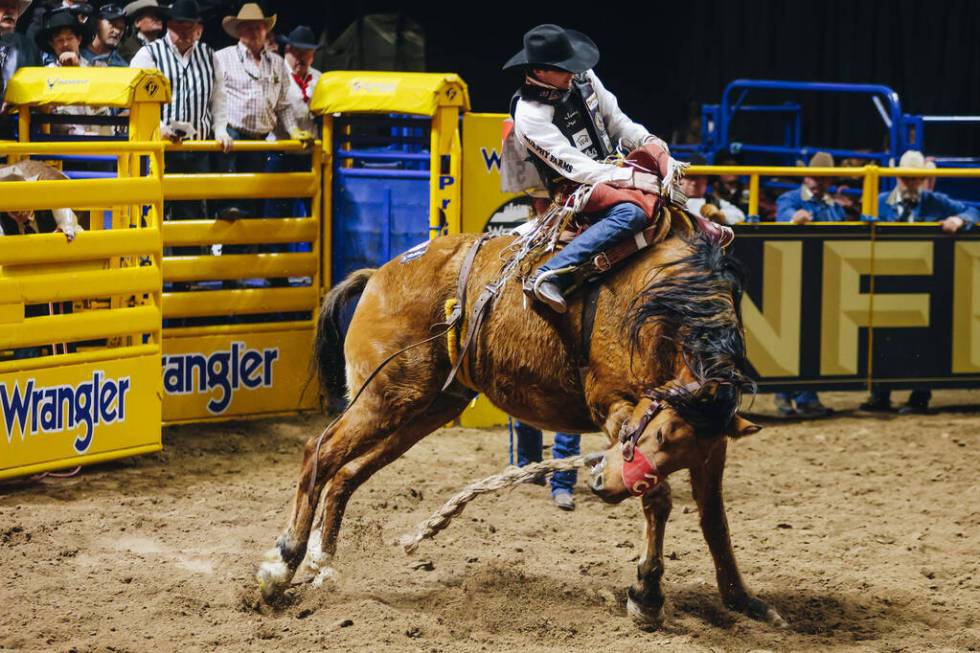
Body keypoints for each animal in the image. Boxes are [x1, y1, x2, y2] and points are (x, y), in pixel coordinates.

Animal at [258, 222, 788, 628]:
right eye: (656, 435)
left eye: (684, 450)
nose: (601, 483)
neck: (667, 307)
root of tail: (380, 274)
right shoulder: (615, 408)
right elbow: (657, 500)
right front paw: (647, 597)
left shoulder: (713, 447)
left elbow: (714, 520)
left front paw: (745, 601)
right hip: (384, 396)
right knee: (320, 451)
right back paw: (282, 565)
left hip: (423, 407)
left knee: (345, 474)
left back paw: (323, 565)